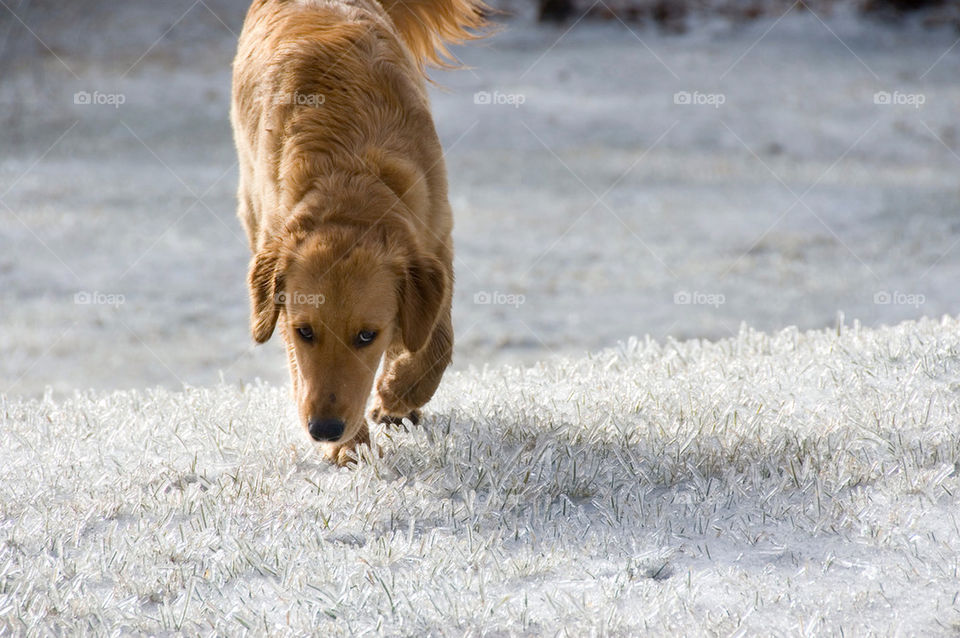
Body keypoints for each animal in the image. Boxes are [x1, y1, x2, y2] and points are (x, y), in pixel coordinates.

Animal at [232, 0, 488, 464]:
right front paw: (352, 449)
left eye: (367, 335)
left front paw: (398, 393)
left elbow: (436, 341)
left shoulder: (436, 241)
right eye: (306, 332)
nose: (325, 429)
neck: (349, 176)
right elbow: (298, 367)